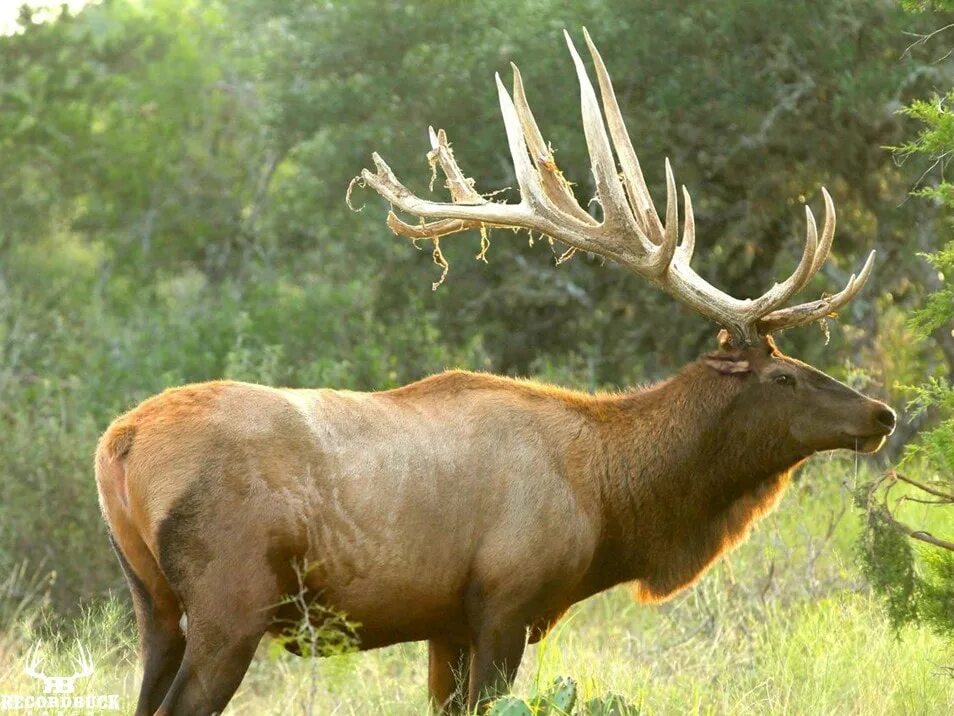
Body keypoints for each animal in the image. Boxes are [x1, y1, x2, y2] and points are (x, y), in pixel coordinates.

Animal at [95, 29, 892, 716]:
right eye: (783, 377)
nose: (880, 414)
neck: (608, 497)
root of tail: (118, 443)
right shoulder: (506, 600)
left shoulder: (445, 622)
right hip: (231, 602)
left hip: (153, 605)